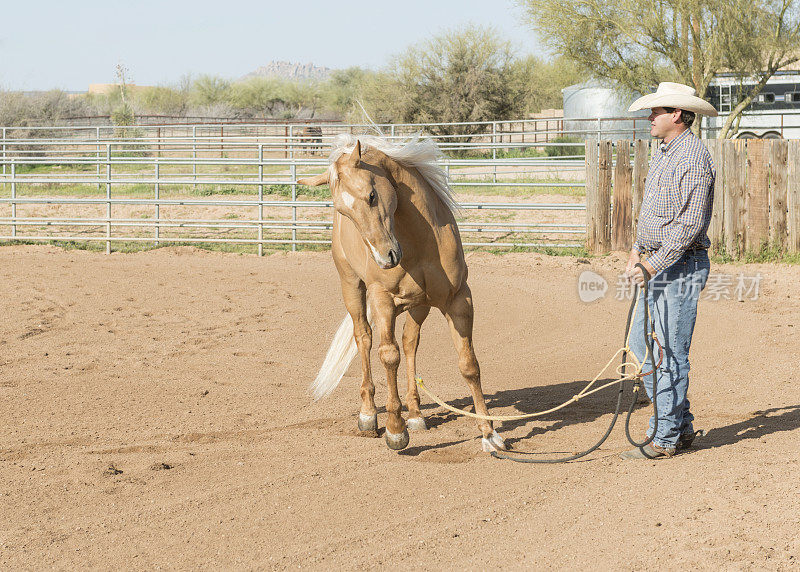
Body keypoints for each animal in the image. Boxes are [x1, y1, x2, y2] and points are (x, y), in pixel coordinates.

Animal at [300, 133, 506, 452]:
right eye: (344, 212)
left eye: (372, 195)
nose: (385, 258)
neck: (417, 242)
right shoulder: (382, 300)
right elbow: (388, 356)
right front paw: (395, 430)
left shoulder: (459, 299)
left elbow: (468, 364)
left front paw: (489, 434)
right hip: (352, 287)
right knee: (365, 338)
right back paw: (369, 415)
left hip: (420, 305)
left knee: (410, 343)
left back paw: (416, 414)